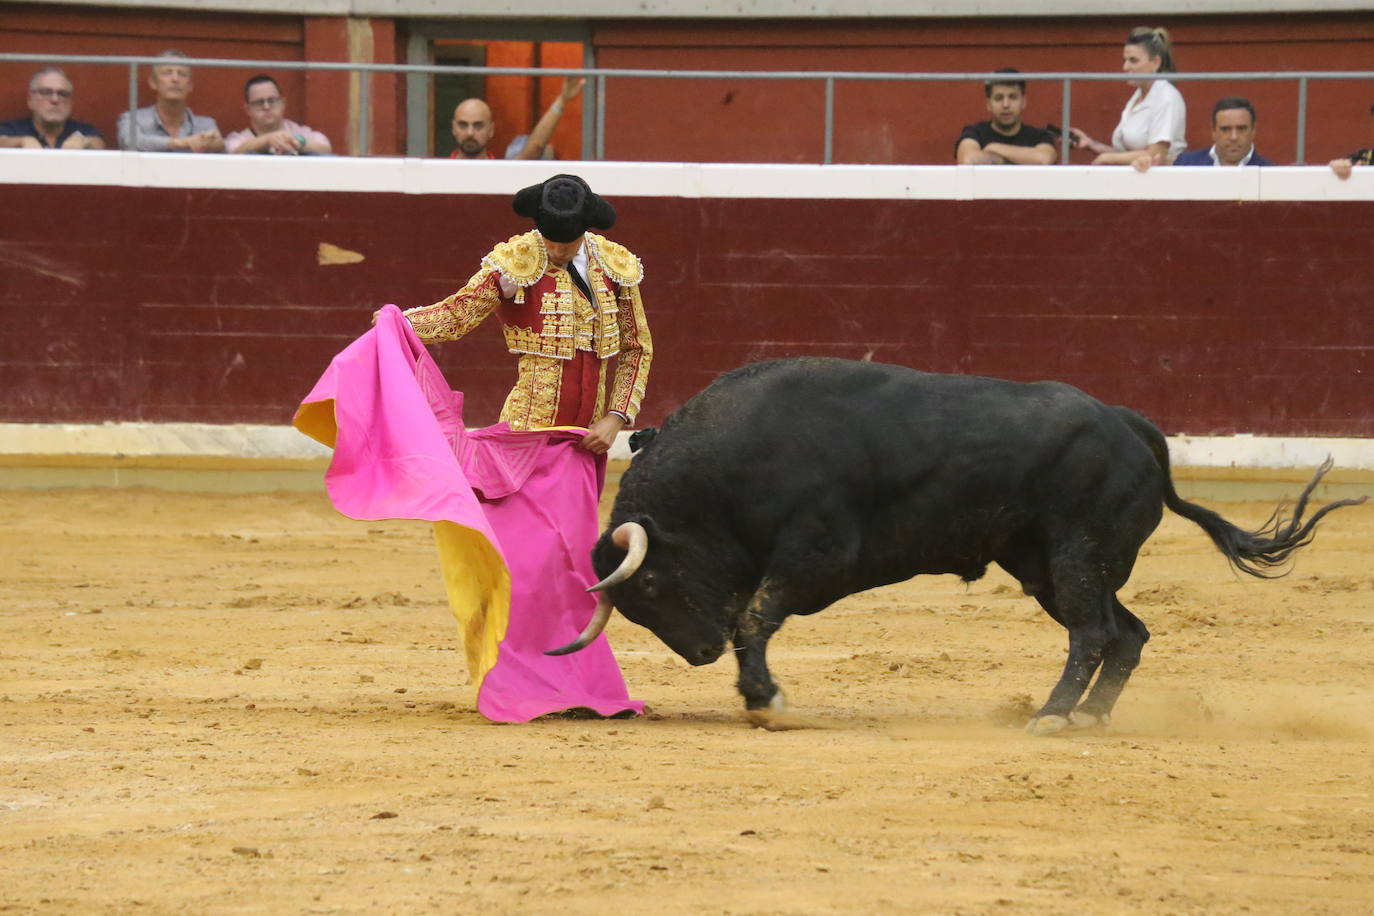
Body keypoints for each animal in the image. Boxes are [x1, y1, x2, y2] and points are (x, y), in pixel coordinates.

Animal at [546, 354, 1363, 736]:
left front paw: (765, 699)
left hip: (1076, 552)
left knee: (1096, 632)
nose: (699, 653)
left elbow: (756, 616)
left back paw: (1050, 716)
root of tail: (1129, 423)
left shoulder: (815, 555)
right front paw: (758, 695)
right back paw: (1086, 716)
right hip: (1051, 566)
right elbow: (753, 620)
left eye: (652, 586)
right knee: (1125, 632)